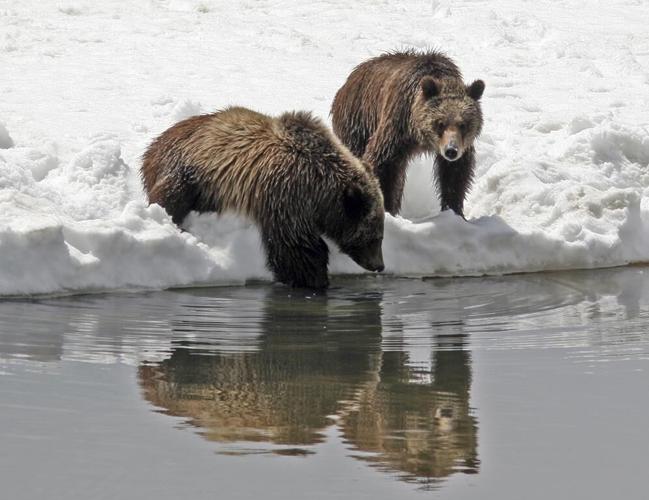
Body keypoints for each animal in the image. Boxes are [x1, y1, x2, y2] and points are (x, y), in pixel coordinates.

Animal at [141, 106, 385, 289]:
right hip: (188, 168)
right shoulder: (286, 196)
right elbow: (296, 247)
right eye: (375, 237)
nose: (379, 265)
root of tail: (153, 144)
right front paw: (314, 279)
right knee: (172, 196)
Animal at [331, 50, 485, 218]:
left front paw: (455, 211)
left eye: (463, 124)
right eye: (440, 123)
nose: (451, 150)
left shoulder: (461, 146)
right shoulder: (397, 126)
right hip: (357, 122)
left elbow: (455, 174)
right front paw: (386, 209)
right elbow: (383, 164)